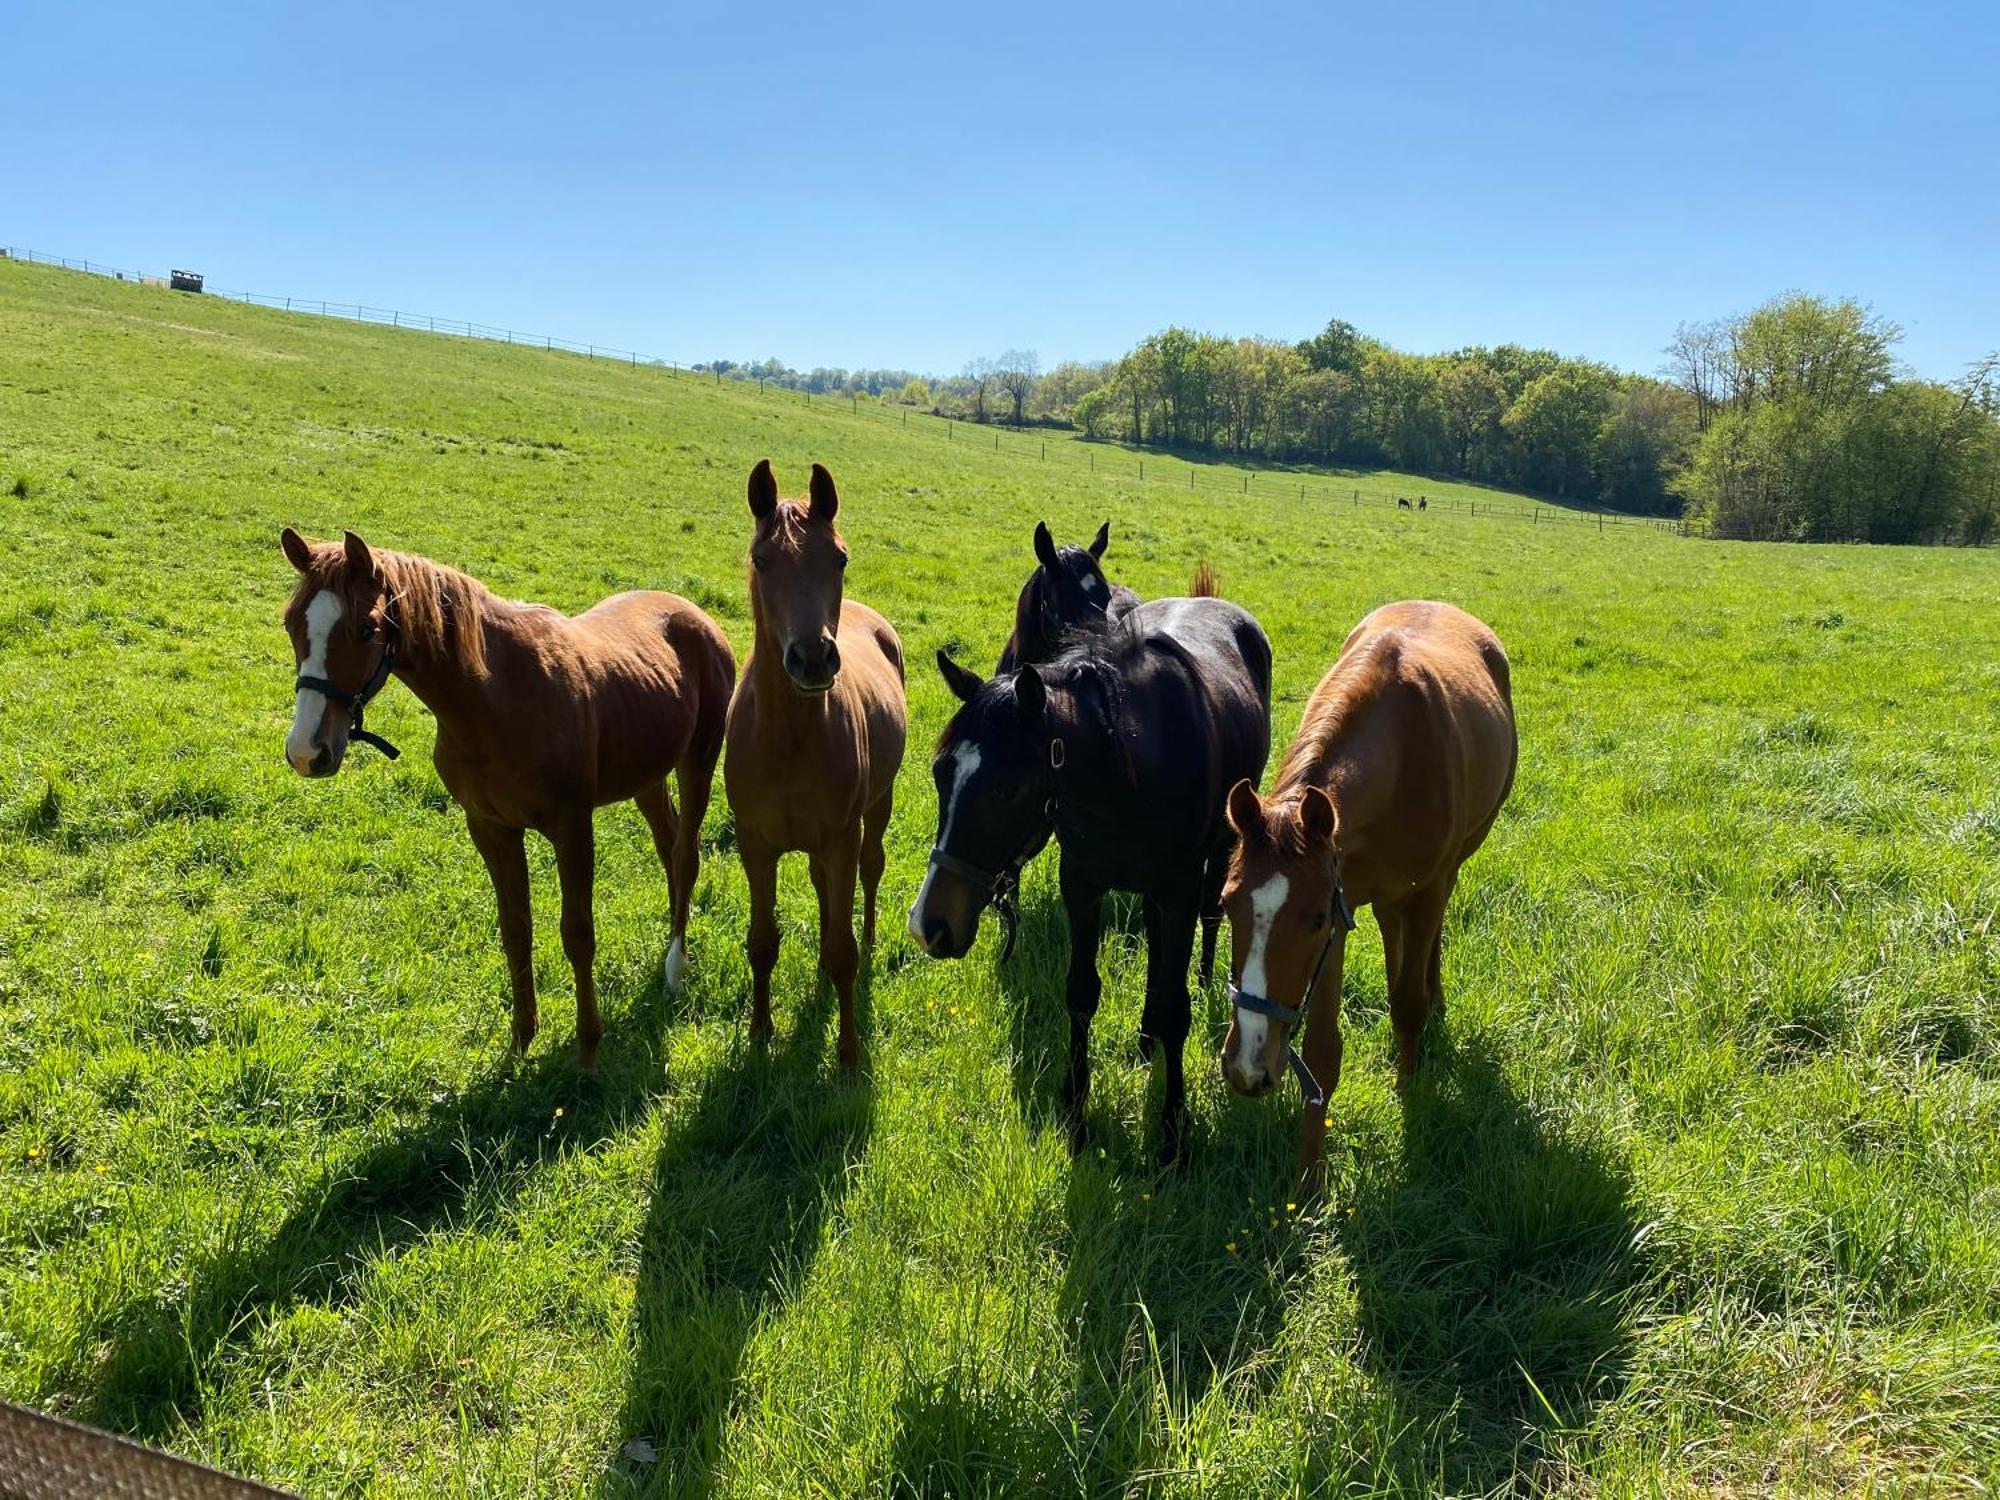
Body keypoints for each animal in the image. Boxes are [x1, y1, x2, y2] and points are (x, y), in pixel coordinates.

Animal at [272, 528, 728, 1072]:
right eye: (292, 623)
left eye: (367, 628)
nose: (307, 751)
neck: (496, 698)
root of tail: (695, 615)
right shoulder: (491, 829)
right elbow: (515, 932)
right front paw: (521, 1040)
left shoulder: (572, 828)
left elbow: (578, 934)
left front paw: (587, 1047)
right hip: (647, 777)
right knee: (668, 845)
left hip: (698, 760)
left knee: (685, 855)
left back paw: (676, 967)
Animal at [724, 464, 904, 1072]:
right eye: (761, 560)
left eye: (839, 558)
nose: (812, 659)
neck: (788, 740)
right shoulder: (754, 845)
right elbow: (762, 942)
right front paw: (759, 1034)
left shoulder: (842, 836)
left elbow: (844, 951)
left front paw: (847, 1055)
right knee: (822, 884)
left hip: (877, 808)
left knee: (870, 871)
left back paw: (868, 938)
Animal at [908, 568, 1264, 1168]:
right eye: (939, 773)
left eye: (1006, 789)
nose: (930, 925)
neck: (1130, 766)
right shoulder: (1081, 885)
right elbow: (1080, 992)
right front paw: (1075, 1114)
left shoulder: (1178, 889)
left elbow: (1177, 1008)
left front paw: (1172, 1137)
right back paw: (1143, 1038)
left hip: (1219, 849)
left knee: (1210, 917)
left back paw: (1202, 981)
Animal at [1216, 600, 1512, 1184]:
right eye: (1226, 904)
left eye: (1310, 919)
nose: (1247, 1066)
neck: (1401, 754)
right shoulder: (1343, 900)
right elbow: (1321, 1052)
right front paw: (1309, 1180)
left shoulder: (1401, 898)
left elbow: (1408, 1004)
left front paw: (1408, 1091)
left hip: (1444, 877)